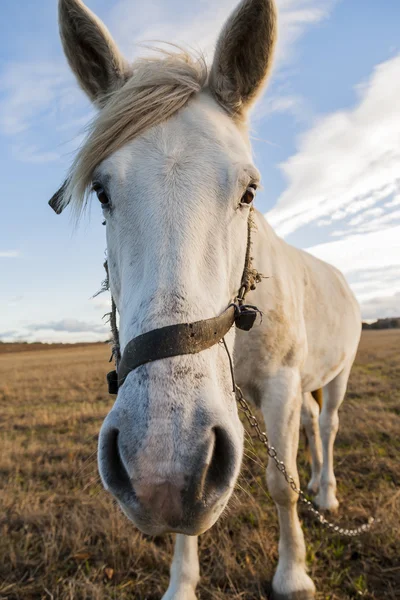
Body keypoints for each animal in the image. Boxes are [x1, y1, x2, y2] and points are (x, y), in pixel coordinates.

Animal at [54, 2, 360, 596]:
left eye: (249, 191)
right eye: (102, 192)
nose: (159, 462)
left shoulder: (282, 386)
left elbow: (281, 482)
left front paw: (293, 574)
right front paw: (182, 583)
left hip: (338, 373)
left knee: (328, 424)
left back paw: (328, 491)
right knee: (314, 424)